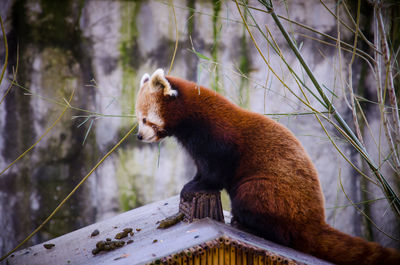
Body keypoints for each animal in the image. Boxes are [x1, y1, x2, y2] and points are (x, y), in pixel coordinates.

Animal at [135, 68, 400, 264]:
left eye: (145, 119)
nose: (138, 136)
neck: (192, 117)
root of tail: (315, 220)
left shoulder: (218, 138)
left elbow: (216, 172)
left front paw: (194, 187)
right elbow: (203, 168)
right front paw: (193, 182)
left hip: (267, 192)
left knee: (258, 205)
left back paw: (248, 225)